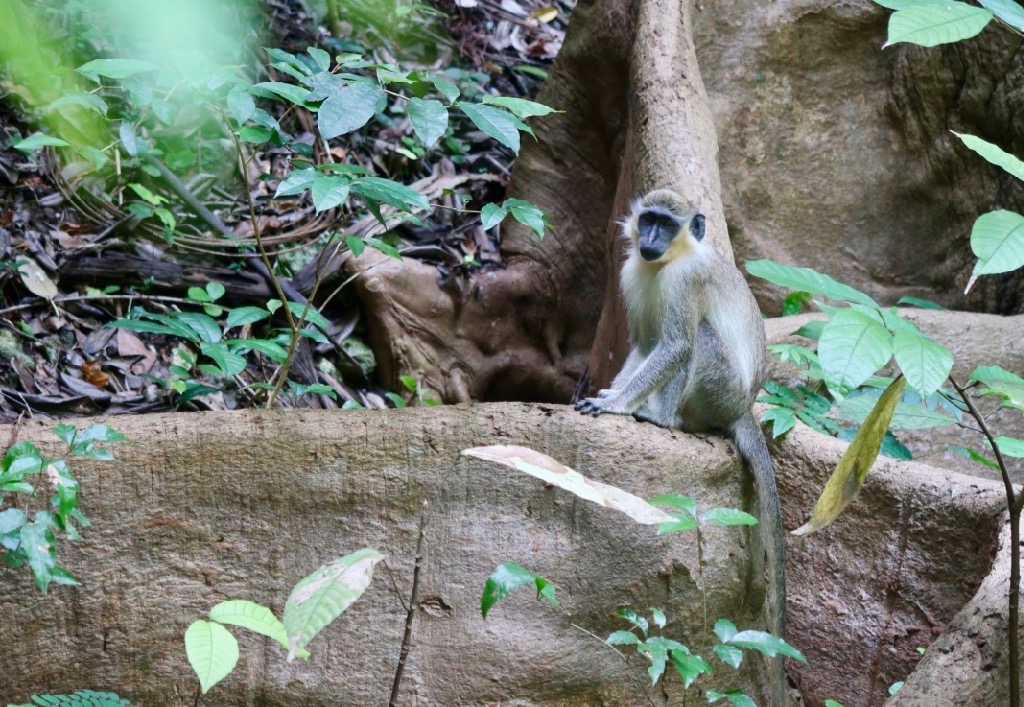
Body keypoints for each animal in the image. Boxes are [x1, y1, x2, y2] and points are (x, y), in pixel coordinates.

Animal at [575, 188, 787, 706]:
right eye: (649, 219)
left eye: (668, 225)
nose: (650, 238)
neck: (666, 263)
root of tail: (742, 409)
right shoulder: (631, 271)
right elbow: (643, 343)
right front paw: (613, 394)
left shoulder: (687, 281)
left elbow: (672, 346)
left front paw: (616, 406)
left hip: (719, 391)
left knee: (697, 339)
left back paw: (660, 417)